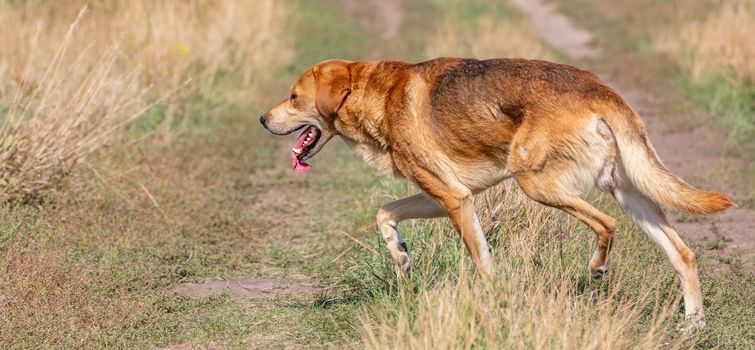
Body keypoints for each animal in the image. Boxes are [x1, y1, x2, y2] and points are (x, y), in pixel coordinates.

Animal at [260, 58, 732, 328]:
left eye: (293, 97)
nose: (263, 119)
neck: (375, 93)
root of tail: (602, 91)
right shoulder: (447, 195)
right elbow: (385, 212)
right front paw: (400, 253)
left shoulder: (453, 199)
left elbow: (483, 262)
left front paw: (493, 304)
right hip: (629, 195)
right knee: (683, 254)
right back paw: (693, 322)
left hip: (538, 184)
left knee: (605, 224)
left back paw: (598, 268)